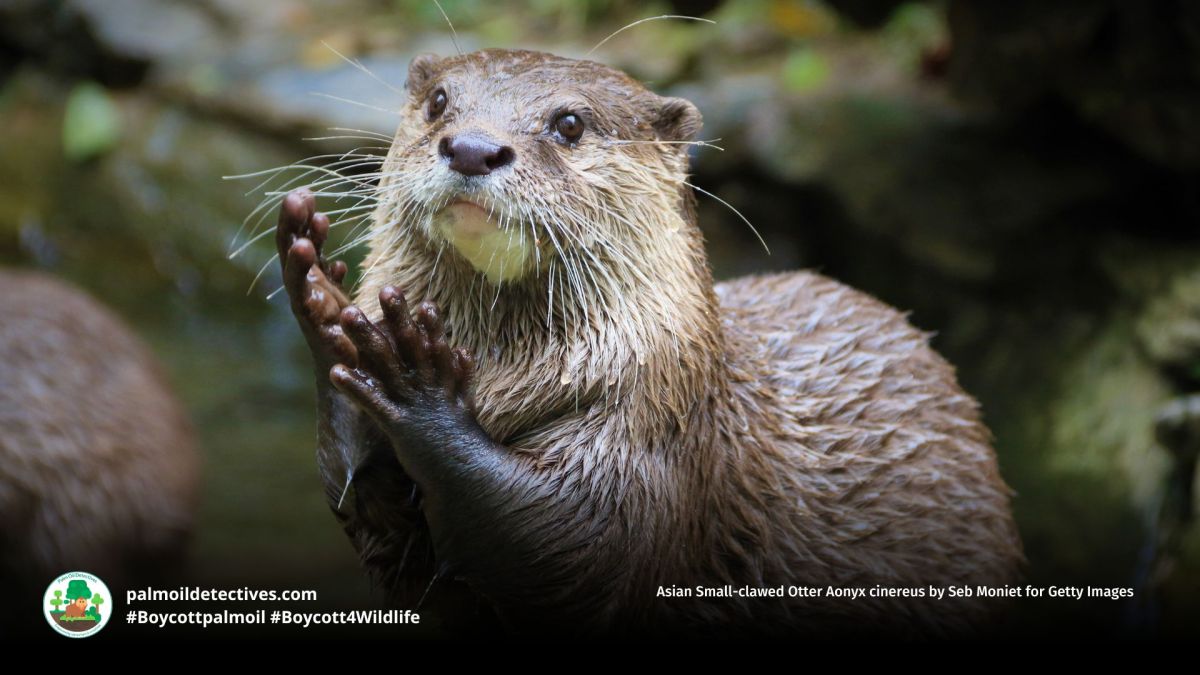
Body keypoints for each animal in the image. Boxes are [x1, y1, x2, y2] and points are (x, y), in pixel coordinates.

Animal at [274, 49, 1022, 637]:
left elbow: (571, 547)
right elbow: (377, 526)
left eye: (569, 124)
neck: (499, 377)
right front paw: (324, 303)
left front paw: (420, 388)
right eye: (438, 102)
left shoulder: (655, 427)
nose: (472, 147)